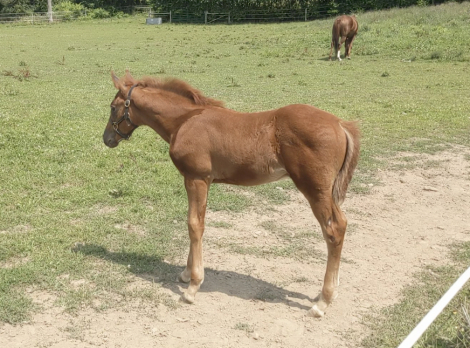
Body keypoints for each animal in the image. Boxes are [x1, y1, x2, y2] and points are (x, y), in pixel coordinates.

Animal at [103, 71, 360, 318]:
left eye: (113, 107)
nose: (107, 139)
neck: (183, 121)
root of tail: (340, 124)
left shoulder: (196, 178)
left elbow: (194, 224)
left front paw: (192, 287)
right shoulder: (202, 181)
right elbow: (198, 222)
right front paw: (186, 274)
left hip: (315, 190)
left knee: (333, 230)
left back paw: (322, 302)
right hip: (326, 192)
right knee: (342, 224)